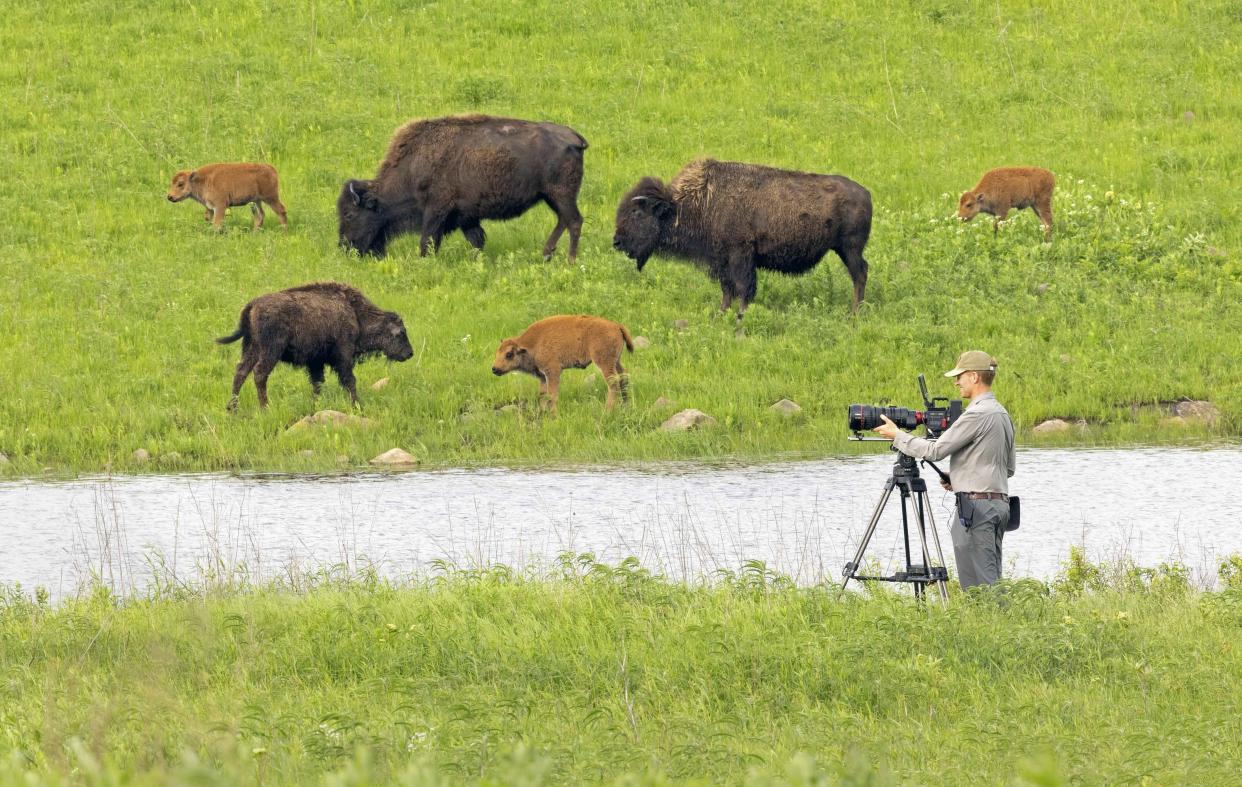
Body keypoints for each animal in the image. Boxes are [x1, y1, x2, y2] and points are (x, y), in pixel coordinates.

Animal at [216, 280, 414, 407]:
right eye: (401, 333)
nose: (410, 353)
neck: (355, 314)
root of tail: (253, 304)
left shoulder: (315, 362)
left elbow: (317, 383)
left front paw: (315, 404)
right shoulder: (343, 355)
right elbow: (349, 380)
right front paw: (357, 404)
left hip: (252, 348)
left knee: (241, 371)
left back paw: (232, 408)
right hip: (270, 351)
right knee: (259, 374)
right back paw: (265, 407)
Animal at [337, 113, 588, 260]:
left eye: (349, 214)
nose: (344, 248)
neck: (413, 166)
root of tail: (574, 137)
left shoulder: (436, 210)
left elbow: (427, 240)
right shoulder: (467, 216)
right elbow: (476, 240)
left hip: (561, 195)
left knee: (574, 221)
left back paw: (570, 260)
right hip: (551, 196)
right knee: (564, 220)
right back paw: (547, 255)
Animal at [489, 314, 635, 414]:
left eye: (509, 354)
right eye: (497, 352)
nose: (494, 369)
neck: (533, 343)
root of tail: (616, 325)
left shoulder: (553, 371)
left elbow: (552, 394)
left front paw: (553, 414)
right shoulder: (542, 376)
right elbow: (543, 395)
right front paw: (543, 413)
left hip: (604, 362)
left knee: (613, 383)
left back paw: (607, 410)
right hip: (616, 361)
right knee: (624, 377)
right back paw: (625, 405)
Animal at [613, 157, 874, 320]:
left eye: (637, 213)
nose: (616, 241)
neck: (701, 201)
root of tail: (866, 193)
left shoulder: (740, 255)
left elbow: (742, 287)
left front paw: (740, 315)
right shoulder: (721, 260)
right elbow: (727, 288)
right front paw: (721, 314)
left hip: (850, 249)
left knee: (860, 274)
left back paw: (854, 314)